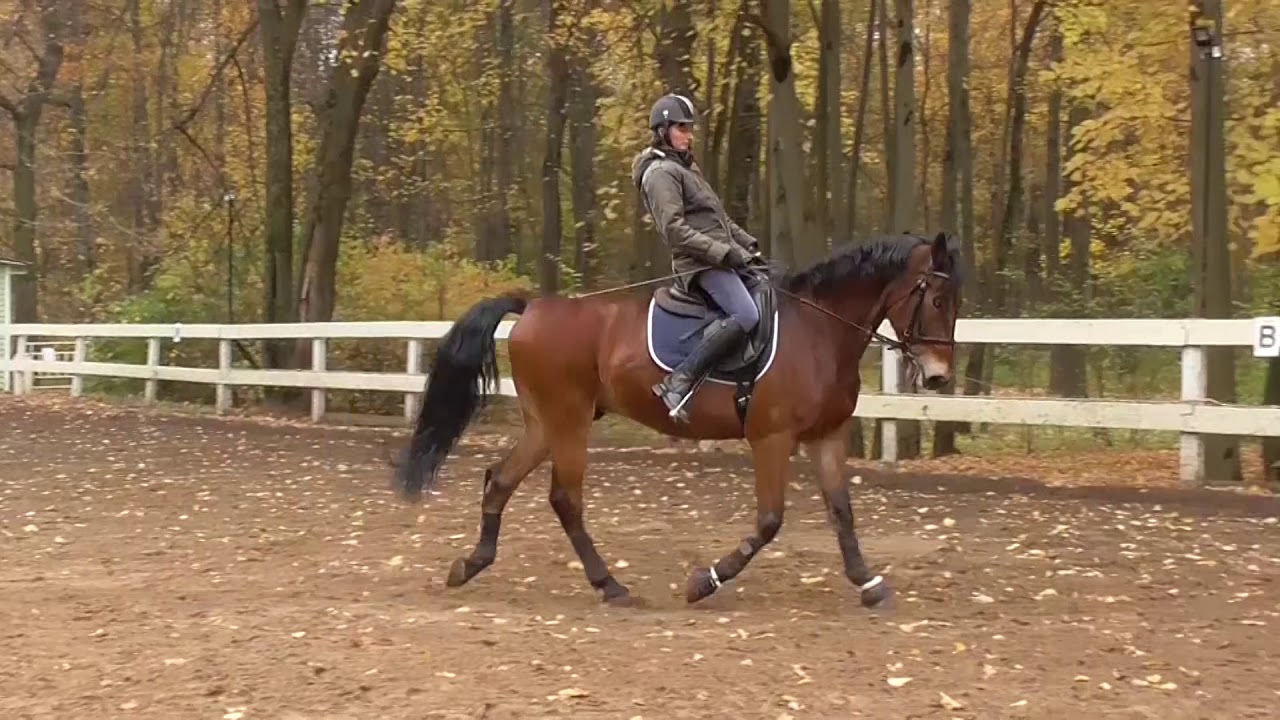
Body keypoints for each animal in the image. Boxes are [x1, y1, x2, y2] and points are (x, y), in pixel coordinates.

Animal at [391, 231, 963, 609]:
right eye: (936, 298)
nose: (939, 376)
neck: (819, 331)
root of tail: (533, 307)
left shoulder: (825, 437)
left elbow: (842, 513)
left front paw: (868, 582)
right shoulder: (772, 438)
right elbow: (770, 521)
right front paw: (705, 580)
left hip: (546, 425)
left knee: (500, 480)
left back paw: (470, 564)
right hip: (569, 424)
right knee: (564, 500)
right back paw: (610, 585)